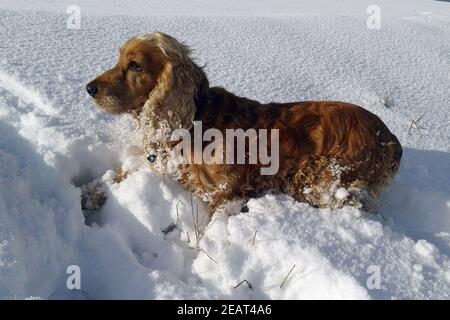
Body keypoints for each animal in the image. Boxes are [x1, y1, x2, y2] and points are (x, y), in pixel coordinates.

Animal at [86, 31, 402, 212]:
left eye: (135, 65)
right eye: (119, 59)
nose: (89, 88)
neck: (196, 118)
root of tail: (390, 139)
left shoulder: (224, 191)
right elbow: (122, 172)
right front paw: (93, 193)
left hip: (322, 176)